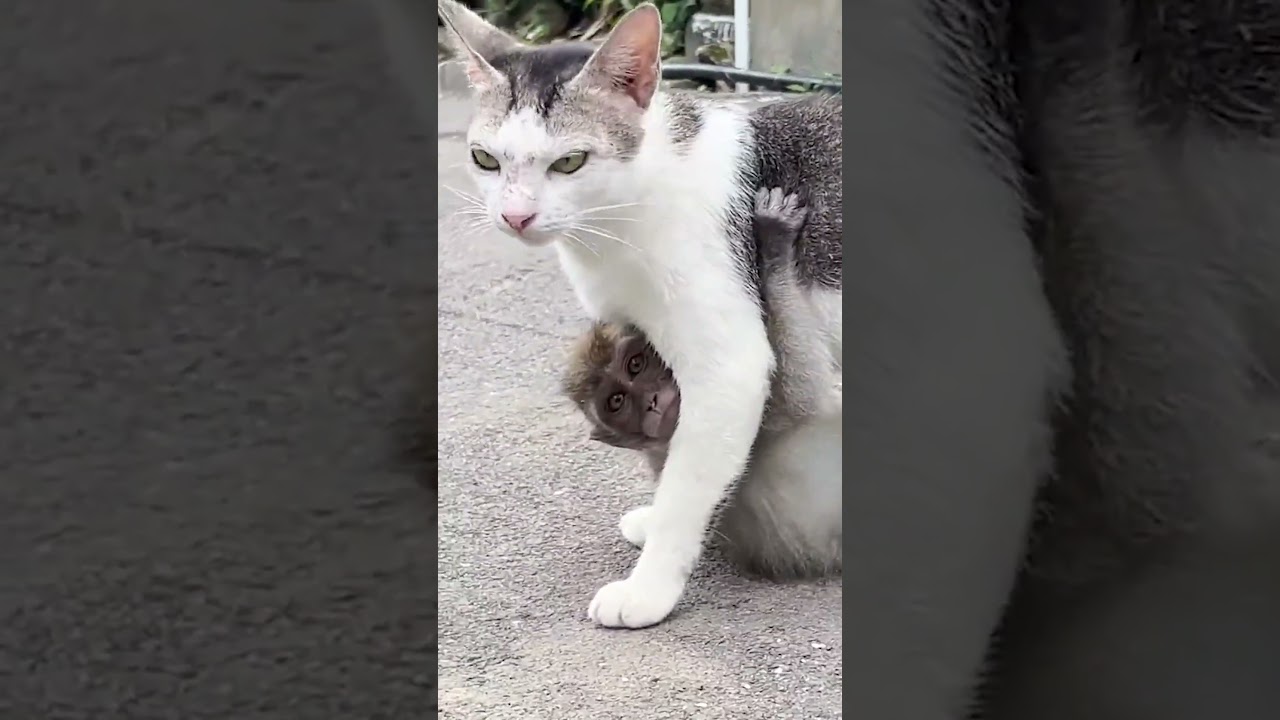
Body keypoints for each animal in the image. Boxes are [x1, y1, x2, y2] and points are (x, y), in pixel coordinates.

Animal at [561, 188, 842, 579]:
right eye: (616, 402)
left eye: (635, 364)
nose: (651, 401)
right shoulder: (756, 416)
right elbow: (803, 393)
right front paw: (774, 248)